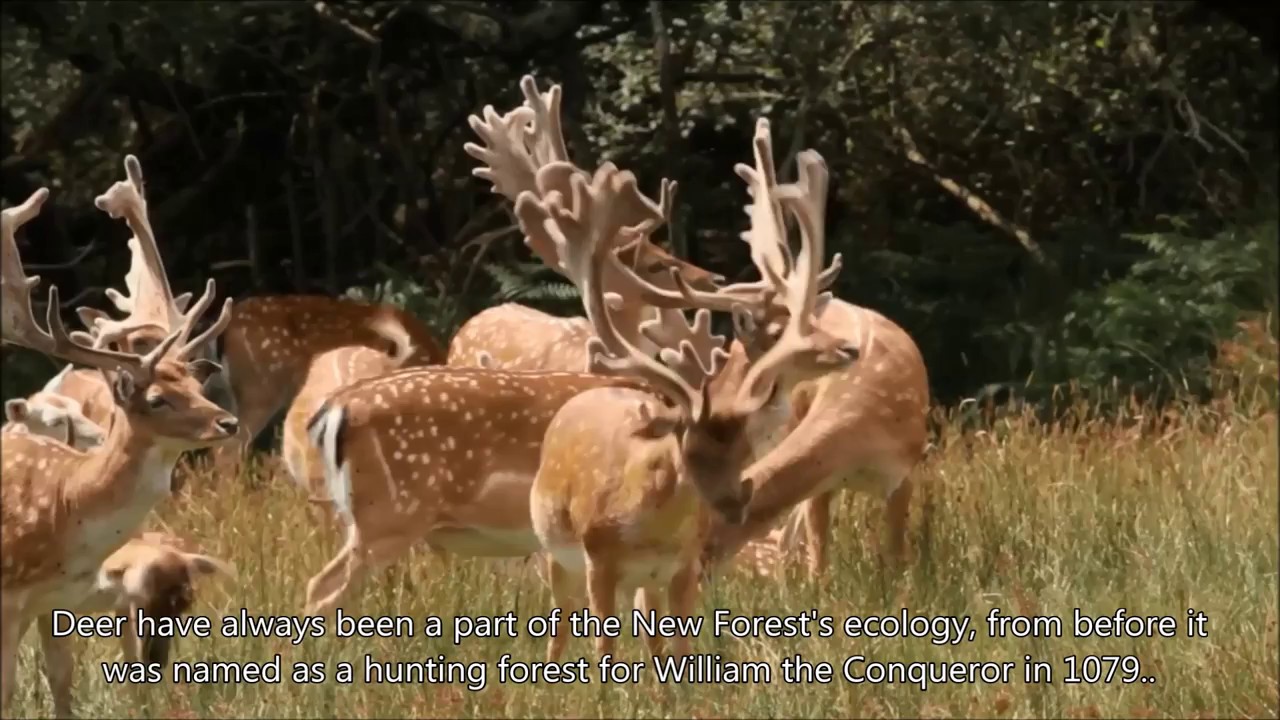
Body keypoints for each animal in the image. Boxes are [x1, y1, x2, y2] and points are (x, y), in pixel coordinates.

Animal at [1, 175, 238, 717]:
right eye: (156, 398)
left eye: (194, 384)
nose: (228, 422)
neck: (66, 503)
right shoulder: (8, 600)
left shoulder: (54, 601)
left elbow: (61, 683)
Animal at [527, 144, 857, 662]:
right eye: (692, 448)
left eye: (742, 448)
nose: (847, 347)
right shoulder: (600, 562)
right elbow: (604, 649)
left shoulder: (683, 569)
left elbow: (678, 648)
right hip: (558, 555)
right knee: (559, 628)